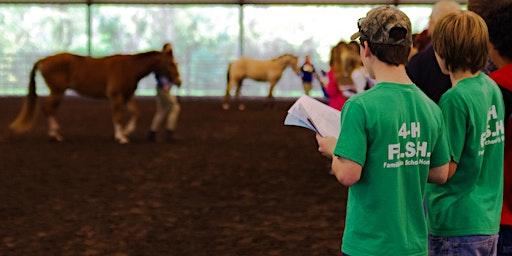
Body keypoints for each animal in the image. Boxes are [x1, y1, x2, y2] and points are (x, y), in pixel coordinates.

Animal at [8, 44, 182, 144]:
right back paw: (55, 136)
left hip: (57, 92)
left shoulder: (127, 97)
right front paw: (121, 138)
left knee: (49, 109)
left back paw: (55, 134)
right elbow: (117, 116)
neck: (129, 68)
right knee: (48, 109)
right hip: (57, 92)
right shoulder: (116, 96)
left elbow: (136, 114)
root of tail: (43, 60)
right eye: (171, 63)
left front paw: (126, 132)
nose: (179, 81)